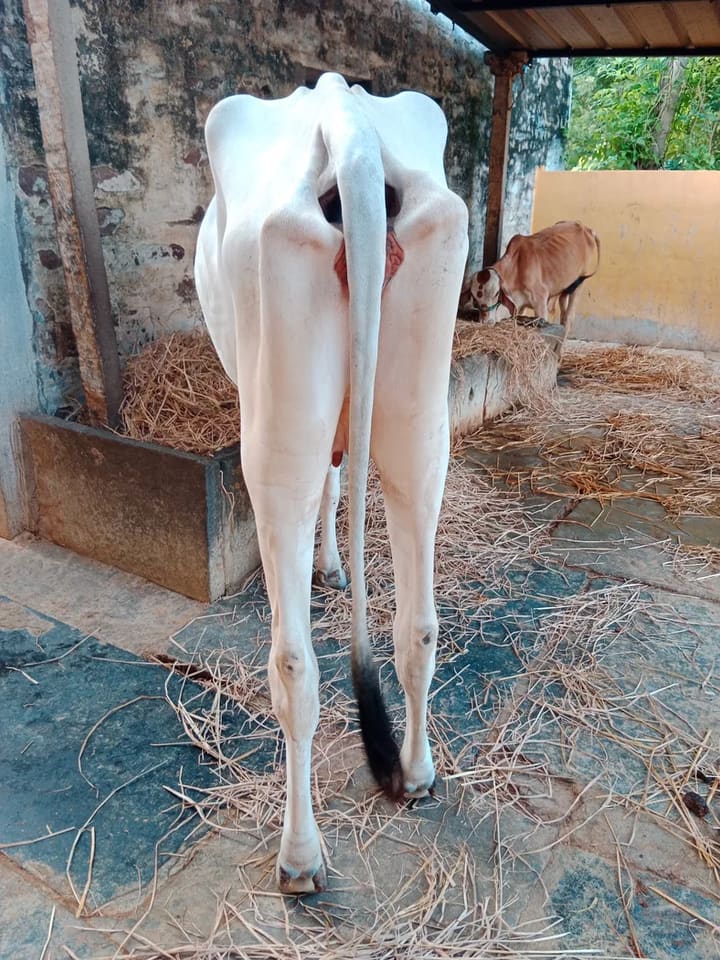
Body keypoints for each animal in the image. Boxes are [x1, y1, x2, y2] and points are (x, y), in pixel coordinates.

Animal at [194, 73, 468, 893]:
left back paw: (300, 856)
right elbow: (338, 485)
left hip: (275, 438)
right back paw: (416, 772)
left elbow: (325, 489)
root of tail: (345, 116)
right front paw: (335, 566)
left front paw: (323, 568)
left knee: (294, 665)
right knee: (418, 624)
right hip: (420, 422)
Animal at [461, 220, 600, 330]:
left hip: (579, 283)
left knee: (568, 319)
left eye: (496, 293)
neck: (516, 270)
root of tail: (585, 228)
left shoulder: (540, 301)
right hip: (564, 287)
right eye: (474, 298)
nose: (486, 321)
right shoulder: (519, 305)